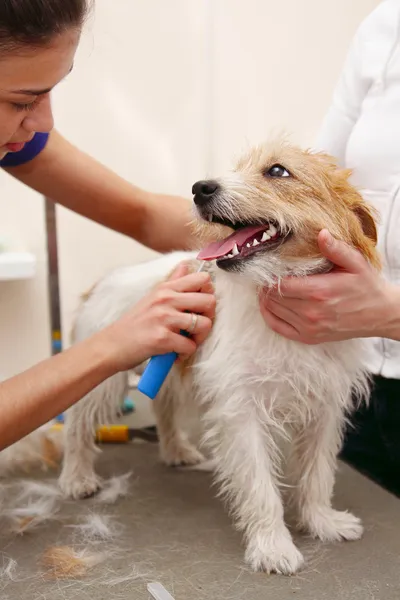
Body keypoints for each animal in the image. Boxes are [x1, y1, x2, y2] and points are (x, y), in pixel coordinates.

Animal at [57, 138, 378, 576]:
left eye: (277, 171)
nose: (200, 188)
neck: (273, 289)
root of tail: (103, 281)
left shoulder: (323, 408)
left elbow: (317, 474)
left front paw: (322, 522)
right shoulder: (242, 411)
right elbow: (260, 486)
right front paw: (273, 546)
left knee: (164, 409)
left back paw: (176, 451)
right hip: (104, 378)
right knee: (76, 426)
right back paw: (76, 477)